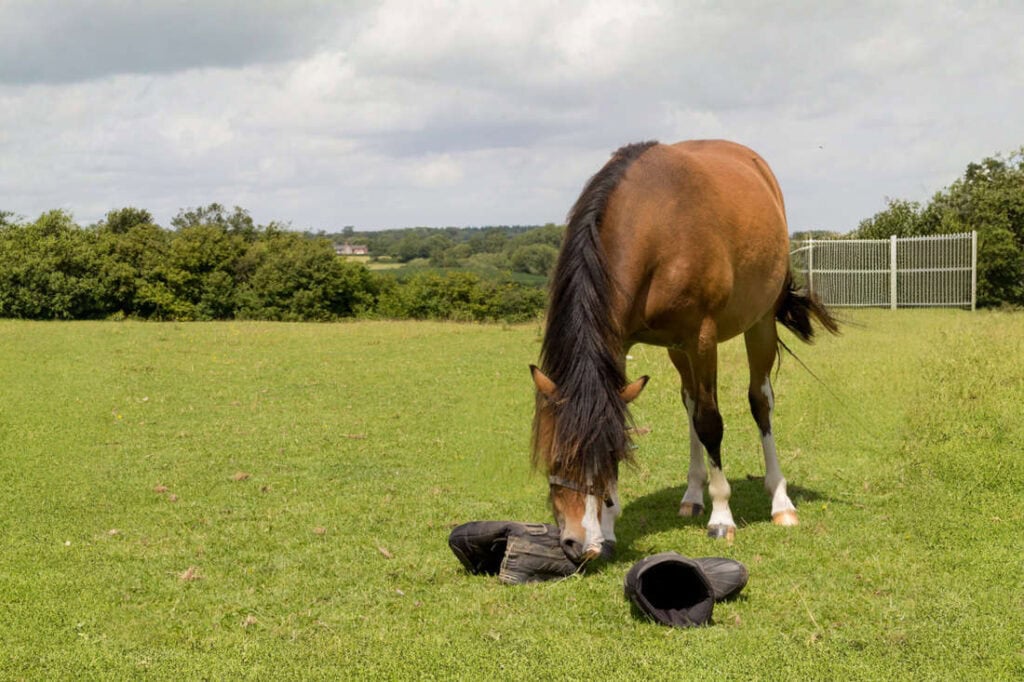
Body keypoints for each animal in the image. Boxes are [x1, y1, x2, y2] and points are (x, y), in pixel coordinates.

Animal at [530, 139, 838, 563]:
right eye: (555, 457)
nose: (578, 544)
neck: (653, 221)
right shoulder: (621, 341)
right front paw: (608, 529)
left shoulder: (701, 338)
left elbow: (711, 422)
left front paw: (722, 517)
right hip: (677, 349)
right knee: (691, 401)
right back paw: (693, 495)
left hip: (757, 324)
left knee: (759, 401)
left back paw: (780, 501)